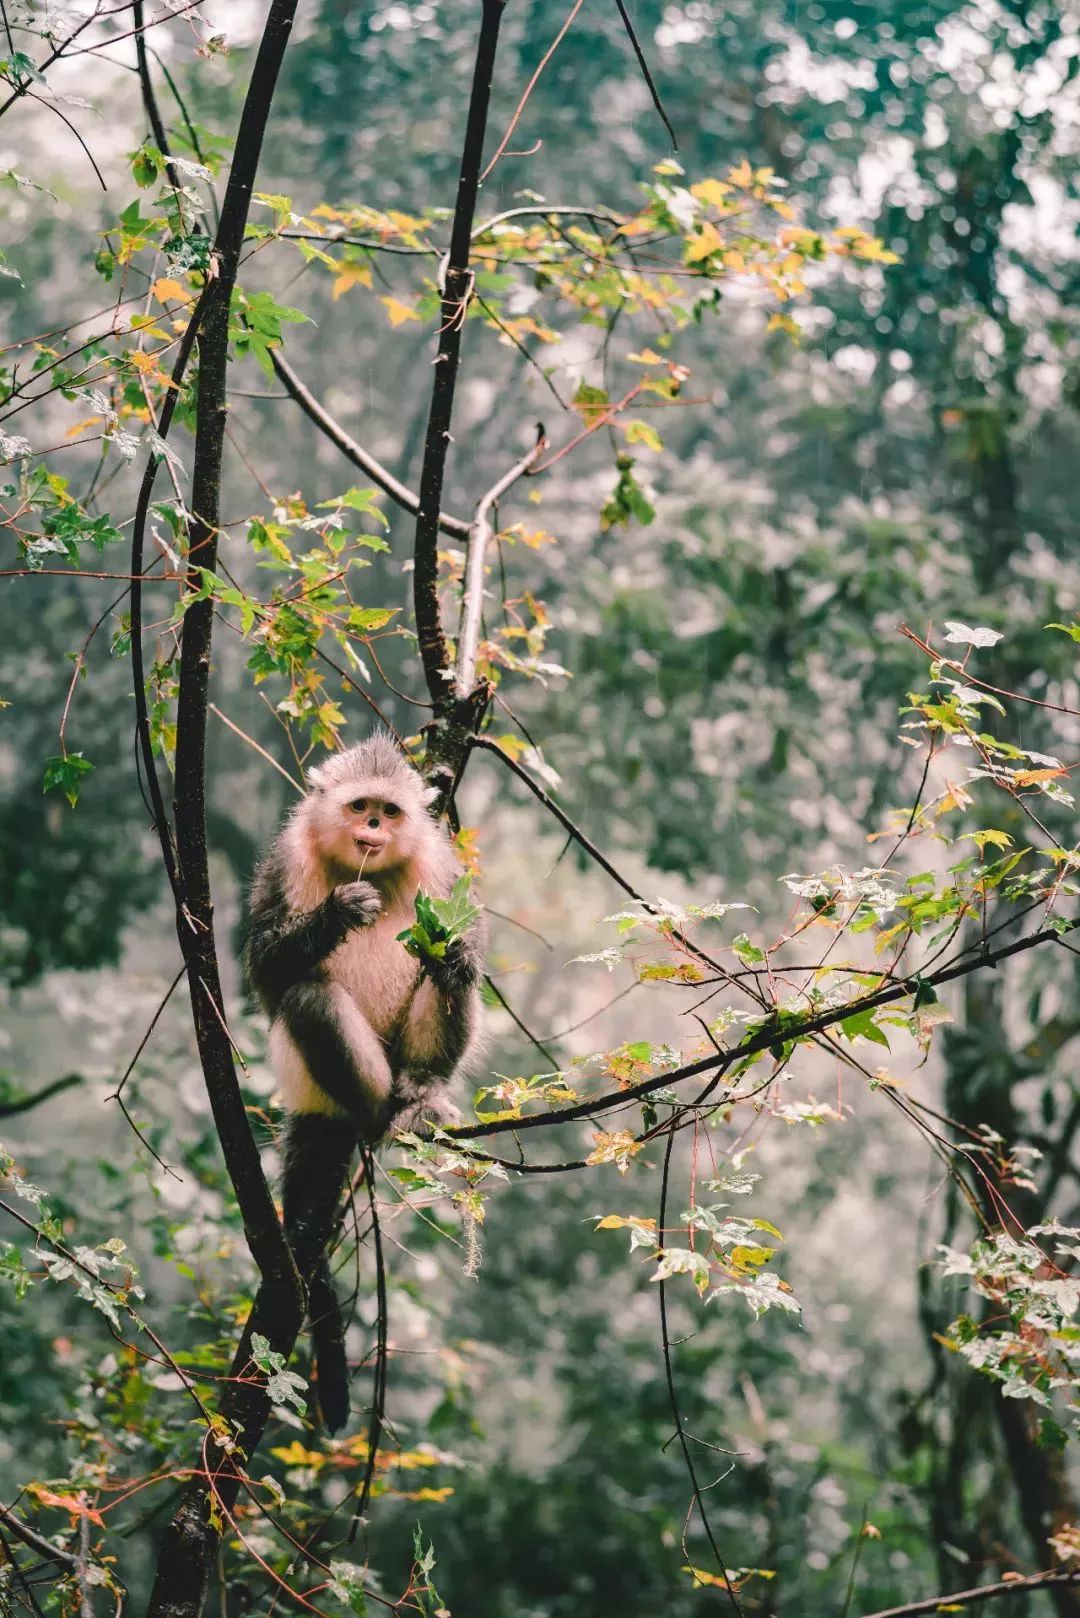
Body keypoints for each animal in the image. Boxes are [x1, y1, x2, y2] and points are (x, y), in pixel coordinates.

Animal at [244, 734, 485, 1430]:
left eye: (390, 810)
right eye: (359, 806)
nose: (373, 828)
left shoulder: (441, 865)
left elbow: (459, 942)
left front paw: (459, 952)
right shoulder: (285, 859)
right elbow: (266, 971)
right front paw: (339, 913)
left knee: (446, 970)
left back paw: (419, 1097)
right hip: (317, 1076)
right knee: (307, 998)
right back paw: (374, 1113)